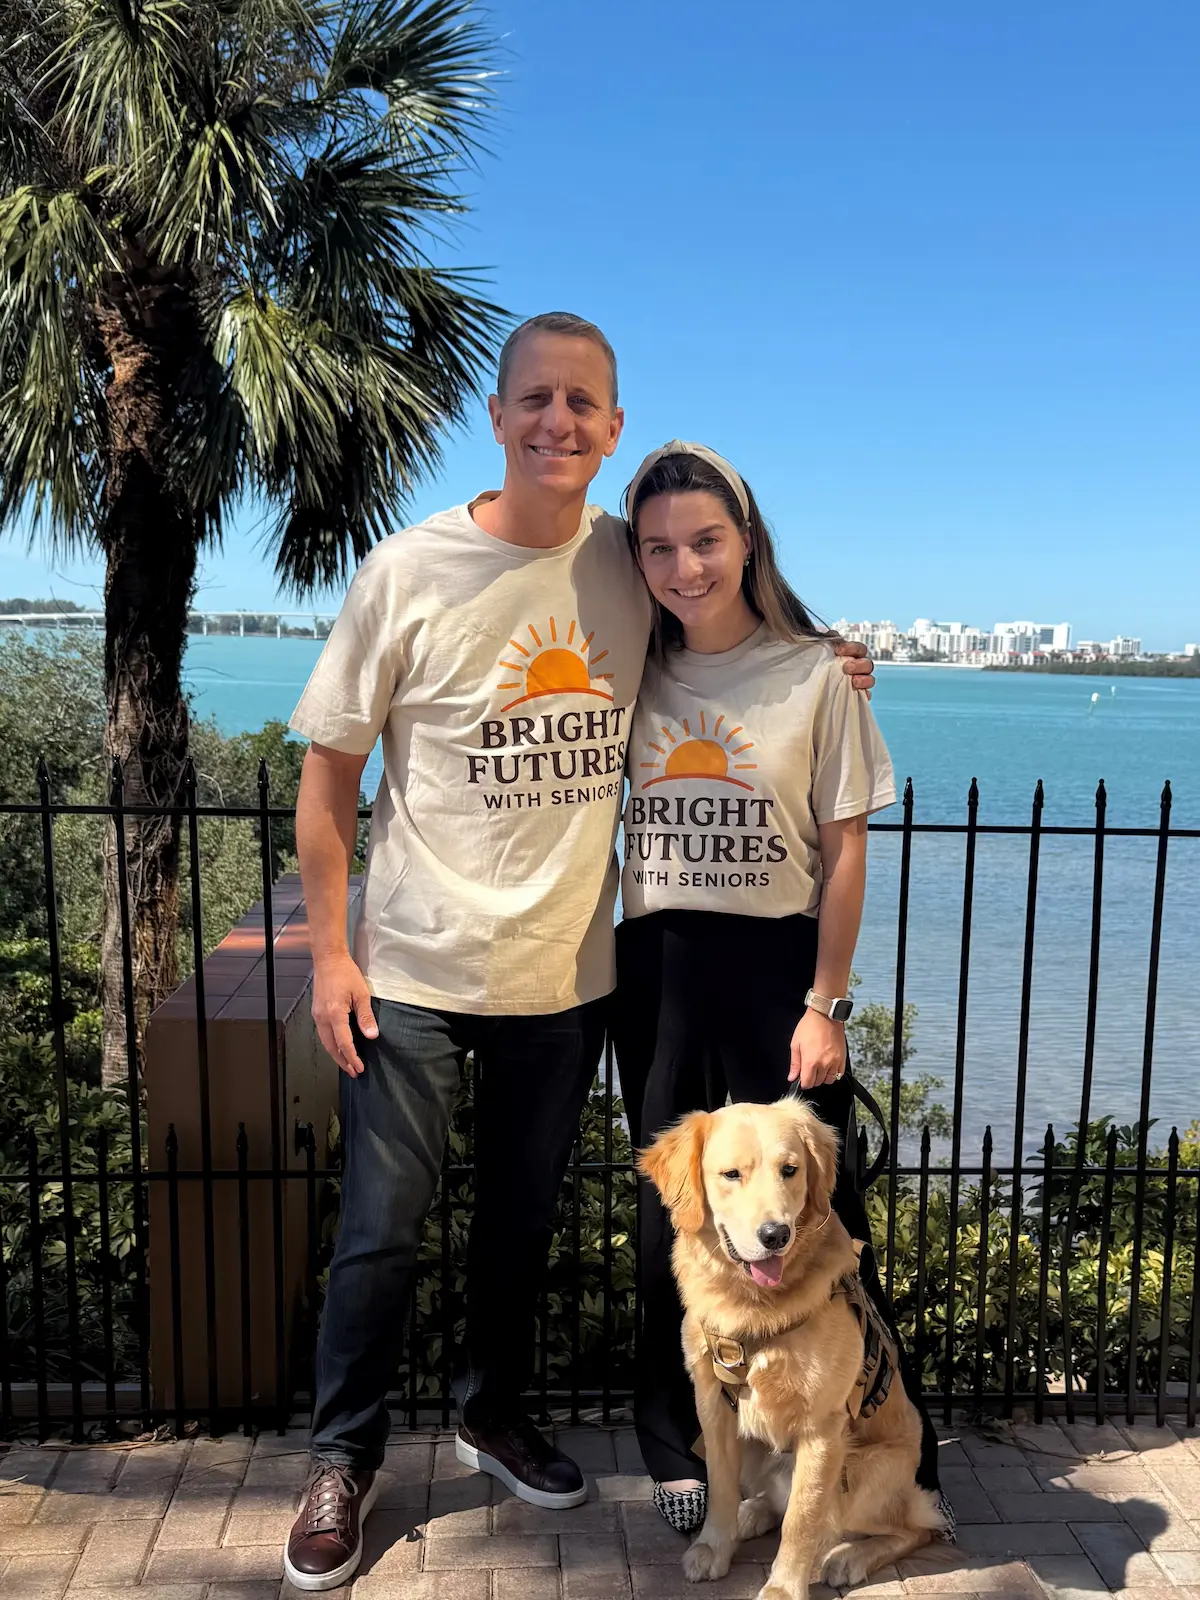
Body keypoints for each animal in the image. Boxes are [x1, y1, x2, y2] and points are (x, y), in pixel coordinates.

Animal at [639, 1097, 947, 1600]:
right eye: (731, 1174)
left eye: (790, 1170)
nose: (775, 1235)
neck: (755, 1308)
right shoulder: (714, 1409)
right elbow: (721, 1489)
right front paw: (714, 1546)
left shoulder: (822, 1430)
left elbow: (801, 1521)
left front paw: (784, 1587)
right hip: (757, 1449)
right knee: (771, 1501)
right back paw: (752, 1514)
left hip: (862, 1475)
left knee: (916, 1528)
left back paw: (849, 1557)